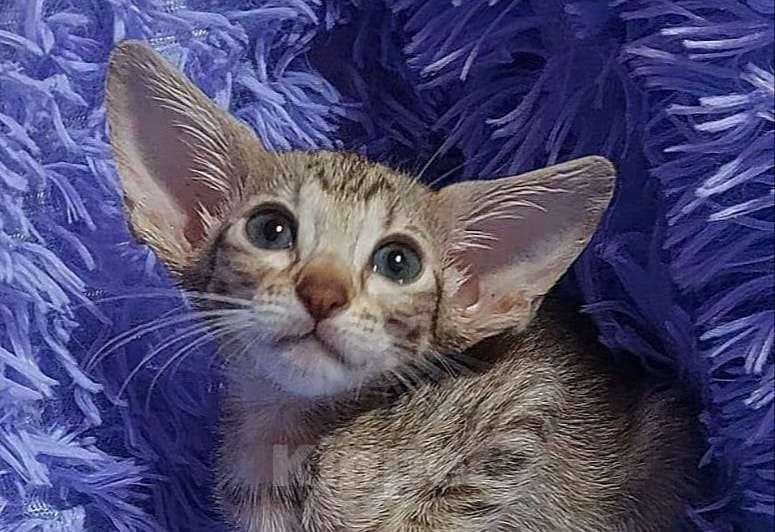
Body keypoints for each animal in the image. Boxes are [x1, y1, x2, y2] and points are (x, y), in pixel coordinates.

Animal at [105, 41, 699, 532]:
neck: (289, 438)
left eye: (398, 262)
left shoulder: (528, 399)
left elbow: (452, 506)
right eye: (269, 230)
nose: (323, 293)